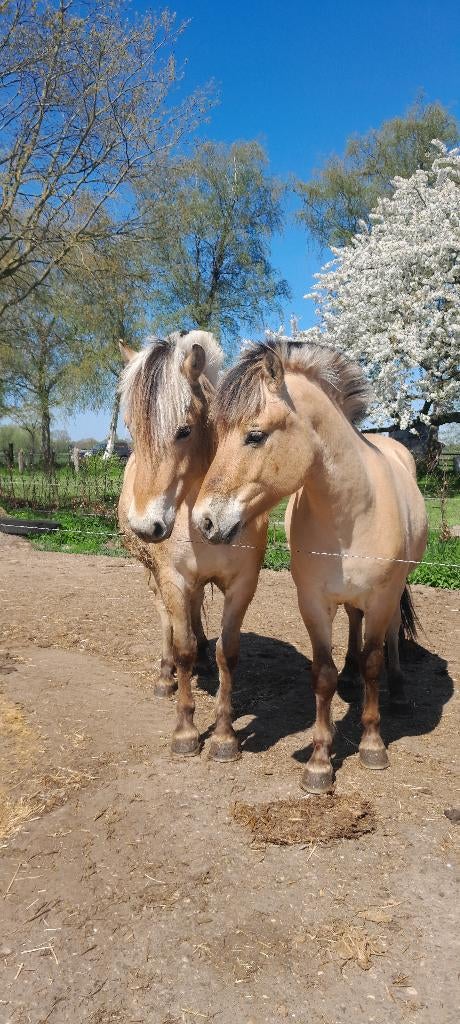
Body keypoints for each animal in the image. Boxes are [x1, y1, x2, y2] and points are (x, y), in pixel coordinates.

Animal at [117, 330, 268, 761]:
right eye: (131, 429)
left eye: (184, 430)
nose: (146, 525)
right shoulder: (172, 578)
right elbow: (181, 642)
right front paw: (185, 731)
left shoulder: (242, 584)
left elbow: (228, 654)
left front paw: (224, 736)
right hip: (154, 576)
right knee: (167, 621)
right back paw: (165, 676)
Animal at [193, 339, 428, 792]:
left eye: (255, 435)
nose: (204, 522)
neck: (352, 512)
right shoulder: (314, 603)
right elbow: (323, 674)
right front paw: (319, 763)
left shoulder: (382, 596)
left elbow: (374, 661)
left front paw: (373, 745)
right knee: (353, 625)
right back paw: (352, 675)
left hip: (391, 595)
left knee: (389, 637)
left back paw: (399, 690)